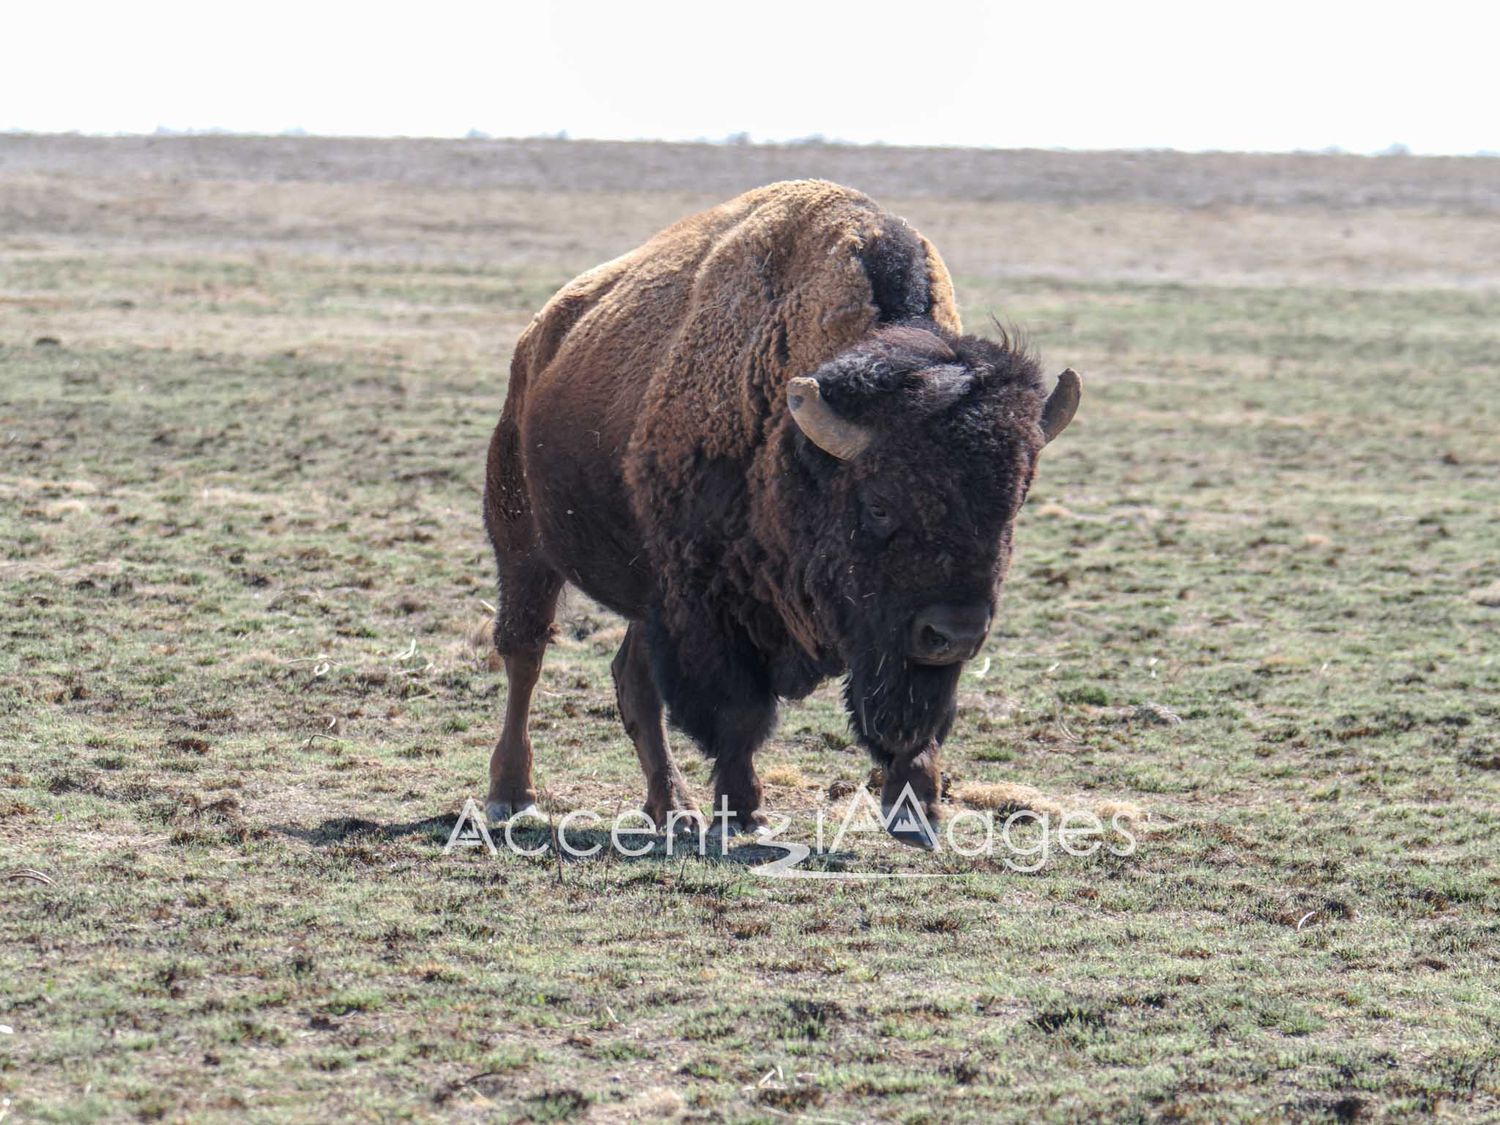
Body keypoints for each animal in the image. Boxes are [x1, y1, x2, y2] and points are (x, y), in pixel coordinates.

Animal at [481, 180, 1079, 842]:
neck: (797, 449)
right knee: (525, 651)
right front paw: (745, 811)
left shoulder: (893, 642)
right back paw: (512, 796)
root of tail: (539, 339)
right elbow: (739, 715)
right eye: (878, 505)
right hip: (522, 538)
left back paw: (673, 806)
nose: (956, 633)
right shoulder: (709, 607)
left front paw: (916, 809)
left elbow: (915, 717)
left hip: (644, 589)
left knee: (631, 679)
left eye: (1014, 502)